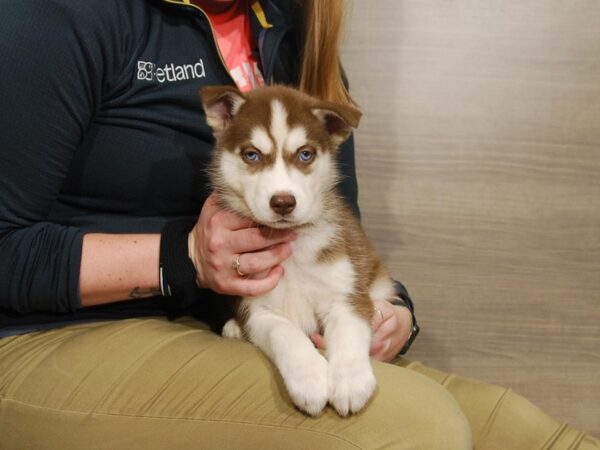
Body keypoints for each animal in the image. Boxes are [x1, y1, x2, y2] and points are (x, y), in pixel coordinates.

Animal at [202, 86, 398, 416]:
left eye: (305, 154)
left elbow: (349, 332)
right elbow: (285, 333)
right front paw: (310, 378)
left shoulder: (347, 293)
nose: (283, 202)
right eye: (251, 155)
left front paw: (351, 380)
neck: (291, 244)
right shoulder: (257, 308)